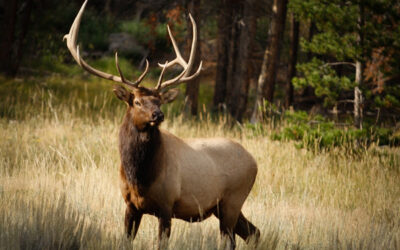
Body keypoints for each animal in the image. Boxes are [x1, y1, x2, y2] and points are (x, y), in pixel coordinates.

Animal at [63, 0, 260, 249]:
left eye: (159, 100)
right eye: (137, 101)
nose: (158, 114)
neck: (140, 178)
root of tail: (254, 161)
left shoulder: (167, 206)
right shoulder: (130, 205)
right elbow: (126, 240)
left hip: (232, 200)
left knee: (234, 238)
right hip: (222, 206)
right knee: (254, 232)